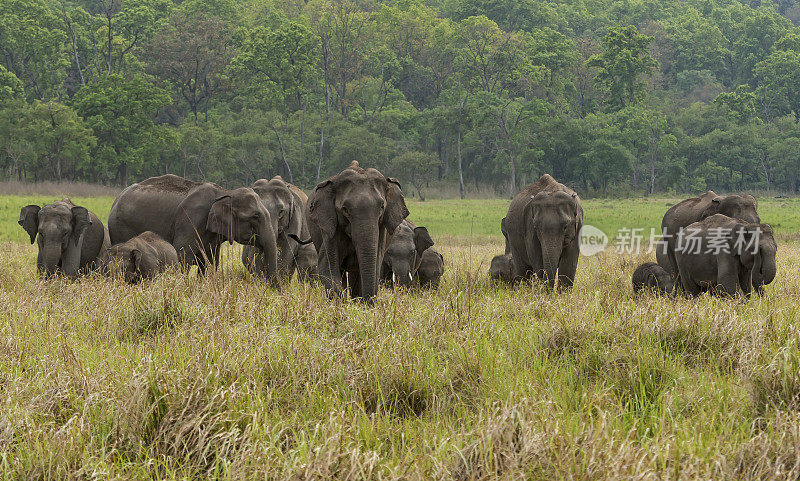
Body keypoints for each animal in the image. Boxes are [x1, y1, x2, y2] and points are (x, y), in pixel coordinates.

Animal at [108, 174, 280, 280]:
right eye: (255, 217)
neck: (224, 192)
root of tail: (116, 199)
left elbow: (211, 263)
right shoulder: (191, 220)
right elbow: (183, 257)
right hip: (119, 228)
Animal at [304, 163, 410, 302]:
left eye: (382, 207)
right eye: (345, 209)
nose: (368, 302)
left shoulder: (381, 230)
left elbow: (375, 265)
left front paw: (360, 304)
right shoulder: (330, 227)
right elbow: (327, 266)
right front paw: (342, 303)